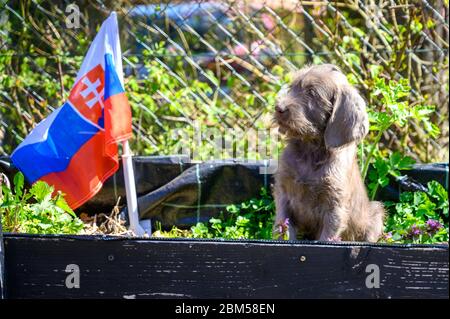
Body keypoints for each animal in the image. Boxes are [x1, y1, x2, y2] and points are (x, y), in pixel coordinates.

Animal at [272, 64, 384, 242]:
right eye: (292, 88)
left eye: (312, 93)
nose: (278, 108)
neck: (311, 150)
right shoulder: (283, 192)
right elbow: (284, 227)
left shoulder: (335, 207)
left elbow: (327, 237)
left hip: (376, 213)